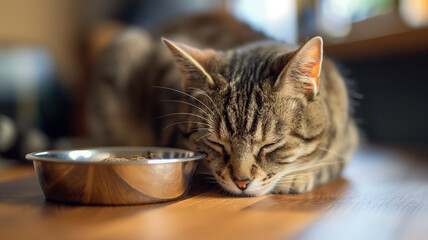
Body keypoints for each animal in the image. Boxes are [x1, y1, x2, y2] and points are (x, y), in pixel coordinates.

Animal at [90, 12, 358, 196]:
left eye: (270, 145)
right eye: (216, 143)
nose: (242, 183)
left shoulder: (348, 138)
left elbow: (331, 162)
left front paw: (298, 176)